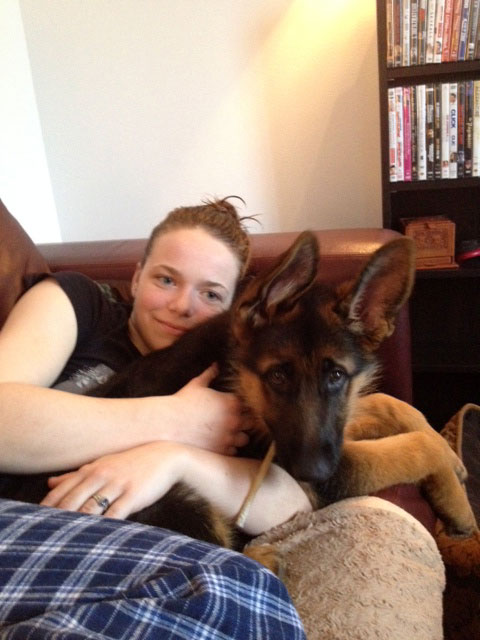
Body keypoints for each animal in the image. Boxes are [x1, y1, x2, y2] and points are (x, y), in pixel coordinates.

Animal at [1, 232, 476, 560]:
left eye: (337, 376)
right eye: (277, 376)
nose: (308, 472)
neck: (236, 375)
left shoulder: (334, 431)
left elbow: (389, 406)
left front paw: (449, 467)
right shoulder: (330, 468)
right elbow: (412, 448)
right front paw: (456, 491)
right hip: (176, 500)